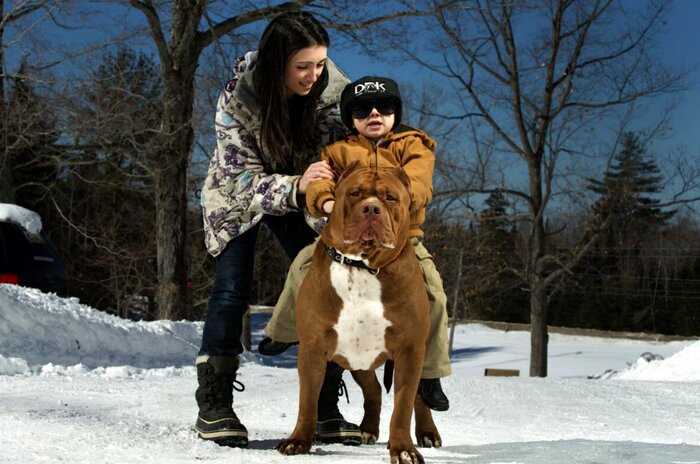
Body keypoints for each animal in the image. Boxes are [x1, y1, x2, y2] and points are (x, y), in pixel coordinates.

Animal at [276, 165, 440, 462]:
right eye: (354, 193)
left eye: (390, 198)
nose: (371, 209)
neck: (361, 266)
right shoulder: (313, 348)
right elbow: (308, 399)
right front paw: (298, 441)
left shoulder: (410, 349)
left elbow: (403, 404)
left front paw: (403, 449)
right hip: (358, 359)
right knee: (373, 390)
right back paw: (367, 430)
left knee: (419, 397)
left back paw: (427, 433)